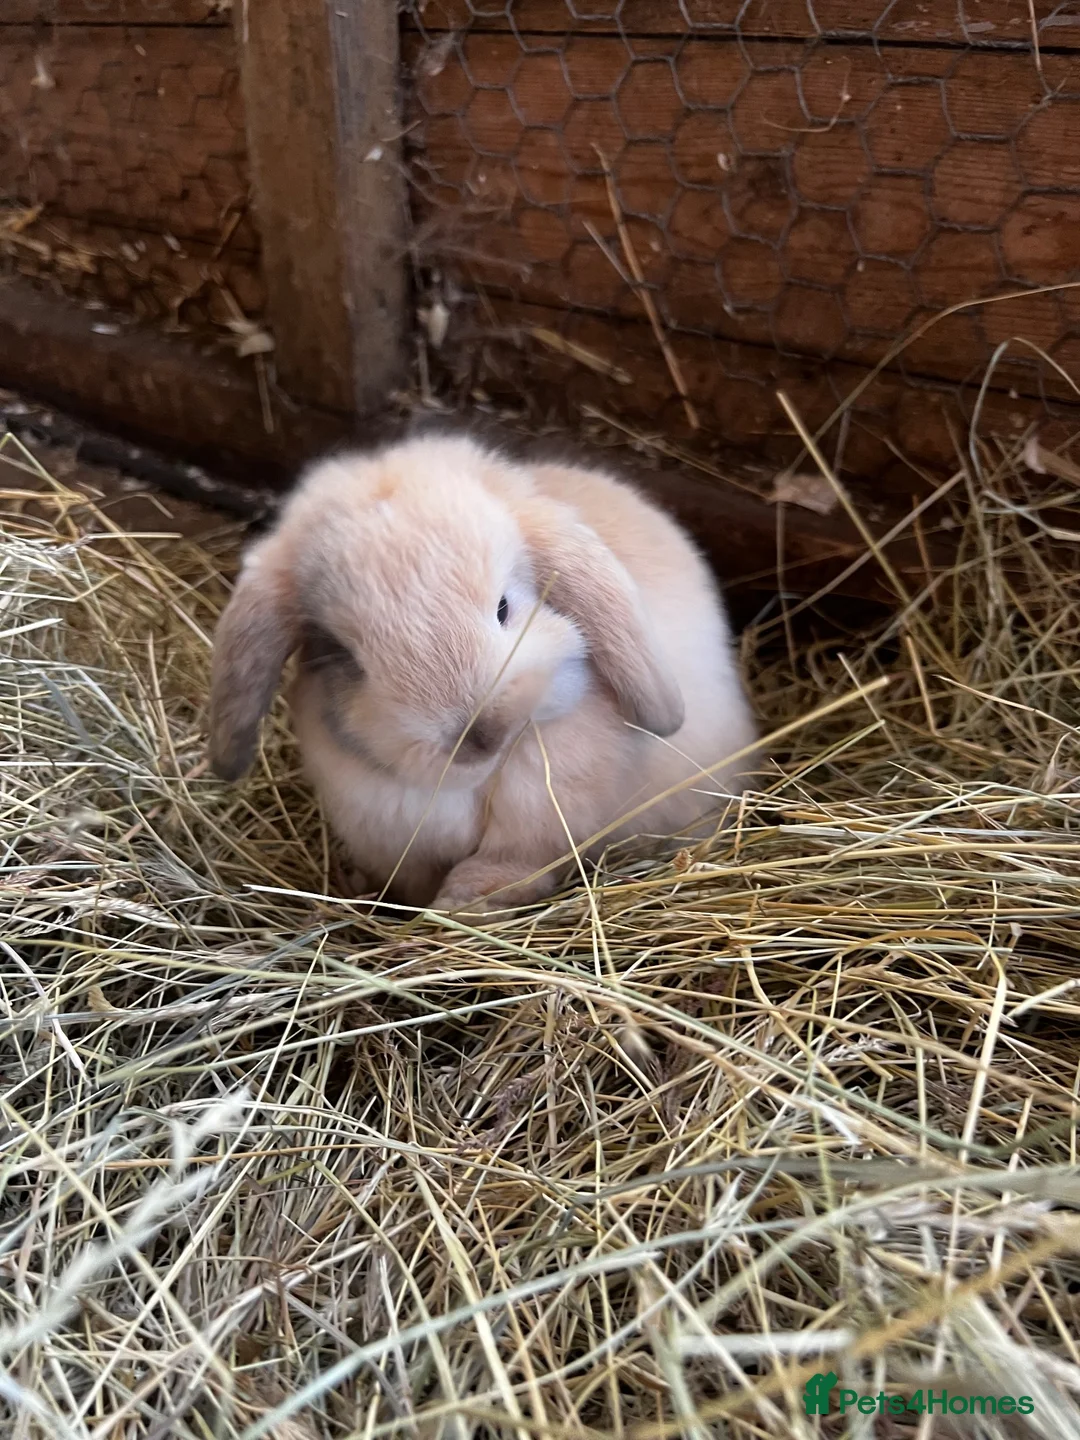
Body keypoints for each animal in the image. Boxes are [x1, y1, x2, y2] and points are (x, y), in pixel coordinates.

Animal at [208, 431, 758, 914]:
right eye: (345, 657)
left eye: (503, 608)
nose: (481, 735)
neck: (470, 780)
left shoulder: (541, 817)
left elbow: (511, 864)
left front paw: (463, 904)